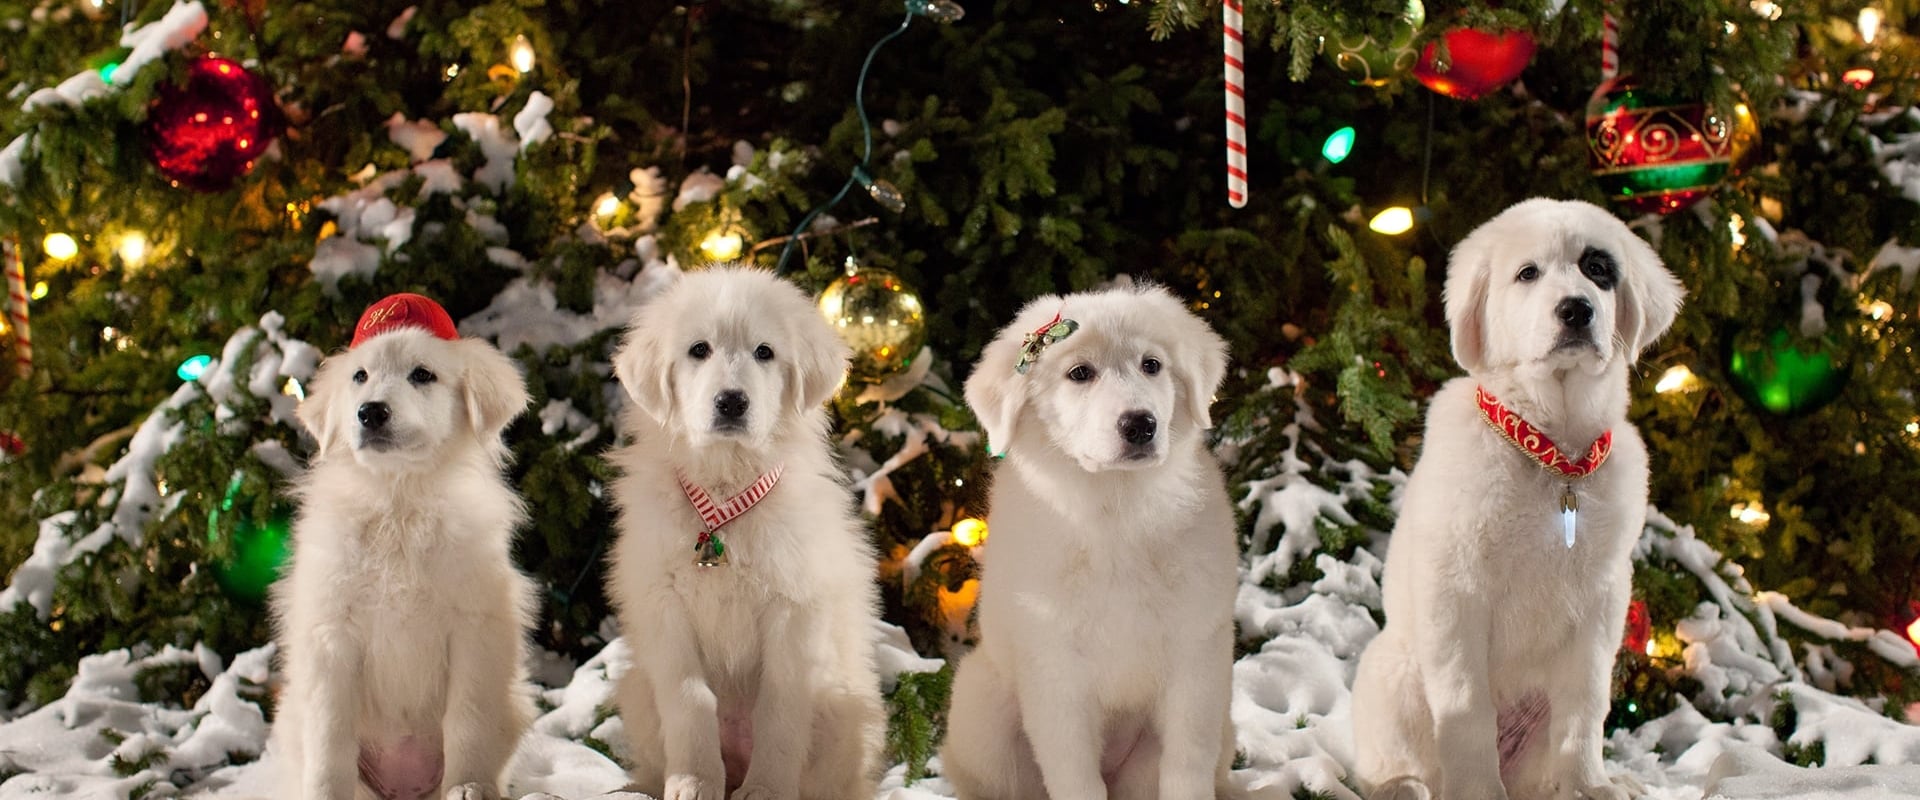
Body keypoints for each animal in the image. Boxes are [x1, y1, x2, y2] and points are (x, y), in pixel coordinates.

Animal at [266, 293, 537, 798]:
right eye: (359, 377)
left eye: (423, 374)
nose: (370, 412)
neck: (399, 501)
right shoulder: (332, 634)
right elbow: (331, 735)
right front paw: (326, 792)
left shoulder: (474, 629)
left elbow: (467, 720)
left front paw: (467, 787)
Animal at [606, 266, 883, 798]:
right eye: (699, 349)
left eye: (764, 352)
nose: (732, 402)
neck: (724, 493)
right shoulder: (665, 607)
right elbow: (690, 699)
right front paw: (694, 782)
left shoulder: (793, 608)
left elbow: (779, 705)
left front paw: (767, 789)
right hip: (638, 691)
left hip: (844, 708)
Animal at [940, 283, 1236, 798]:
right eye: (1080, 373)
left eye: (1151, 365)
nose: (1140, 424)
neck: (1115, 509)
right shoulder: (1055, 673)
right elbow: (1075, 775)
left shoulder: (1197, 660)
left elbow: (1188, 766)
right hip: (981, 708)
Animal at [1351, 197, 1681, 798]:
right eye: (1528, 274)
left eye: (1598, 269)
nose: (1576, 310)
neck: (1553, 457)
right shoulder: (1456, 593)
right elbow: (1467, 709)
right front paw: (1478, 792)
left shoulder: (1602, 602)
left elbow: (1585, 709)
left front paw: (1589, 787)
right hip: (1395, 673)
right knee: (1394, 763)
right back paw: (1404, 786)